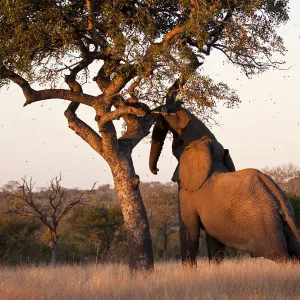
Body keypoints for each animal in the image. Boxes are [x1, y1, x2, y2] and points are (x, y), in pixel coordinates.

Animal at [149, 102, 300, 264]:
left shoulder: (189, 193)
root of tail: (282, 204)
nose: (156, 170)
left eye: (178, 143)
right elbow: (214, 241)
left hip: (265, 224)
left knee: (281, 256)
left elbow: (189, 232)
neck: (209, 151)